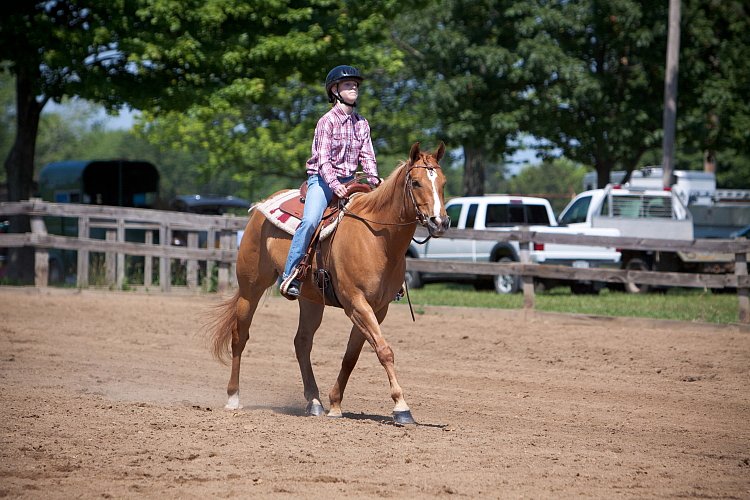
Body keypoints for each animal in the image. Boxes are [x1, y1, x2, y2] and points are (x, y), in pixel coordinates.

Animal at [206, 142, 450, 426]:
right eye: (416, 182)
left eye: (442, 182)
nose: (440, 222)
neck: (378, 240)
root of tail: (262, 206)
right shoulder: (356, 303)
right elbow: (384, 350)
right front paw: (401, 407)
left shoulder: (377, 308)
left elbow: (351, 356)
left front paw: (334, 403)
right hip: (250, 288)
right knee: (239, 336)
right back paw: (233, 398)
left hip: (310, 300)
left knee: (302, 342)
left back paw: (314, 401)